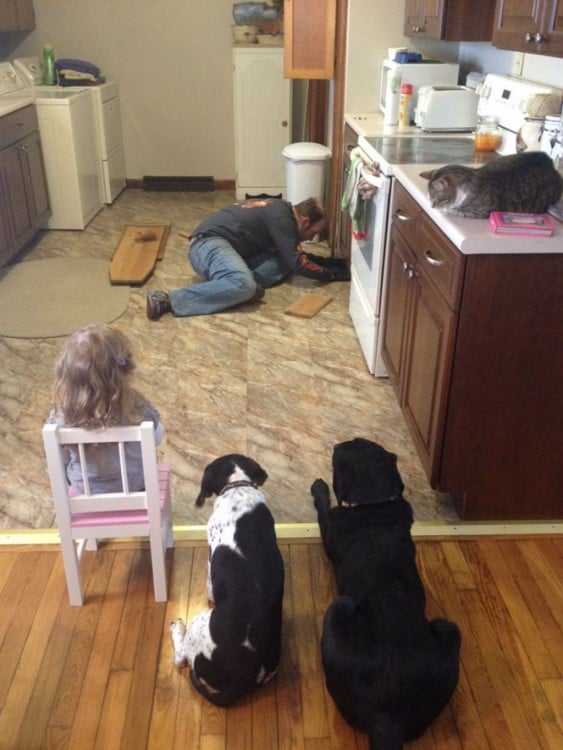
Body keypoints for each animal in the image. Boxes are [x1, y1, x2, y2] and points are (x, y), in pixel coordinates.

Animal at [170, 456, 284, 708]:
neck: (238, 486)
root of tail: (243, 679)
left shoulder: (210, 558)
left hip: (199, 622)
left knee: (181, 657)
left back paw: (177, 628)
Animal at [312, 438, 462, 748]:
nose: (339, 441)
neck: (373, 503)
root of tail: (389, 712)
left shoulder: (330, 530)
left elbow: (323, 509)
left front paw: (318, 488)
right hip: (449, 629)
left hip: (339, 607)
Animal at [420, 151, 560, 219]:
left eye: (436, 200)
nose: (431, 207)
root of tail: (549, 161)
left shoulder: (482, 211)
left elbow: (454, 210)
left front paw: (448, 209)